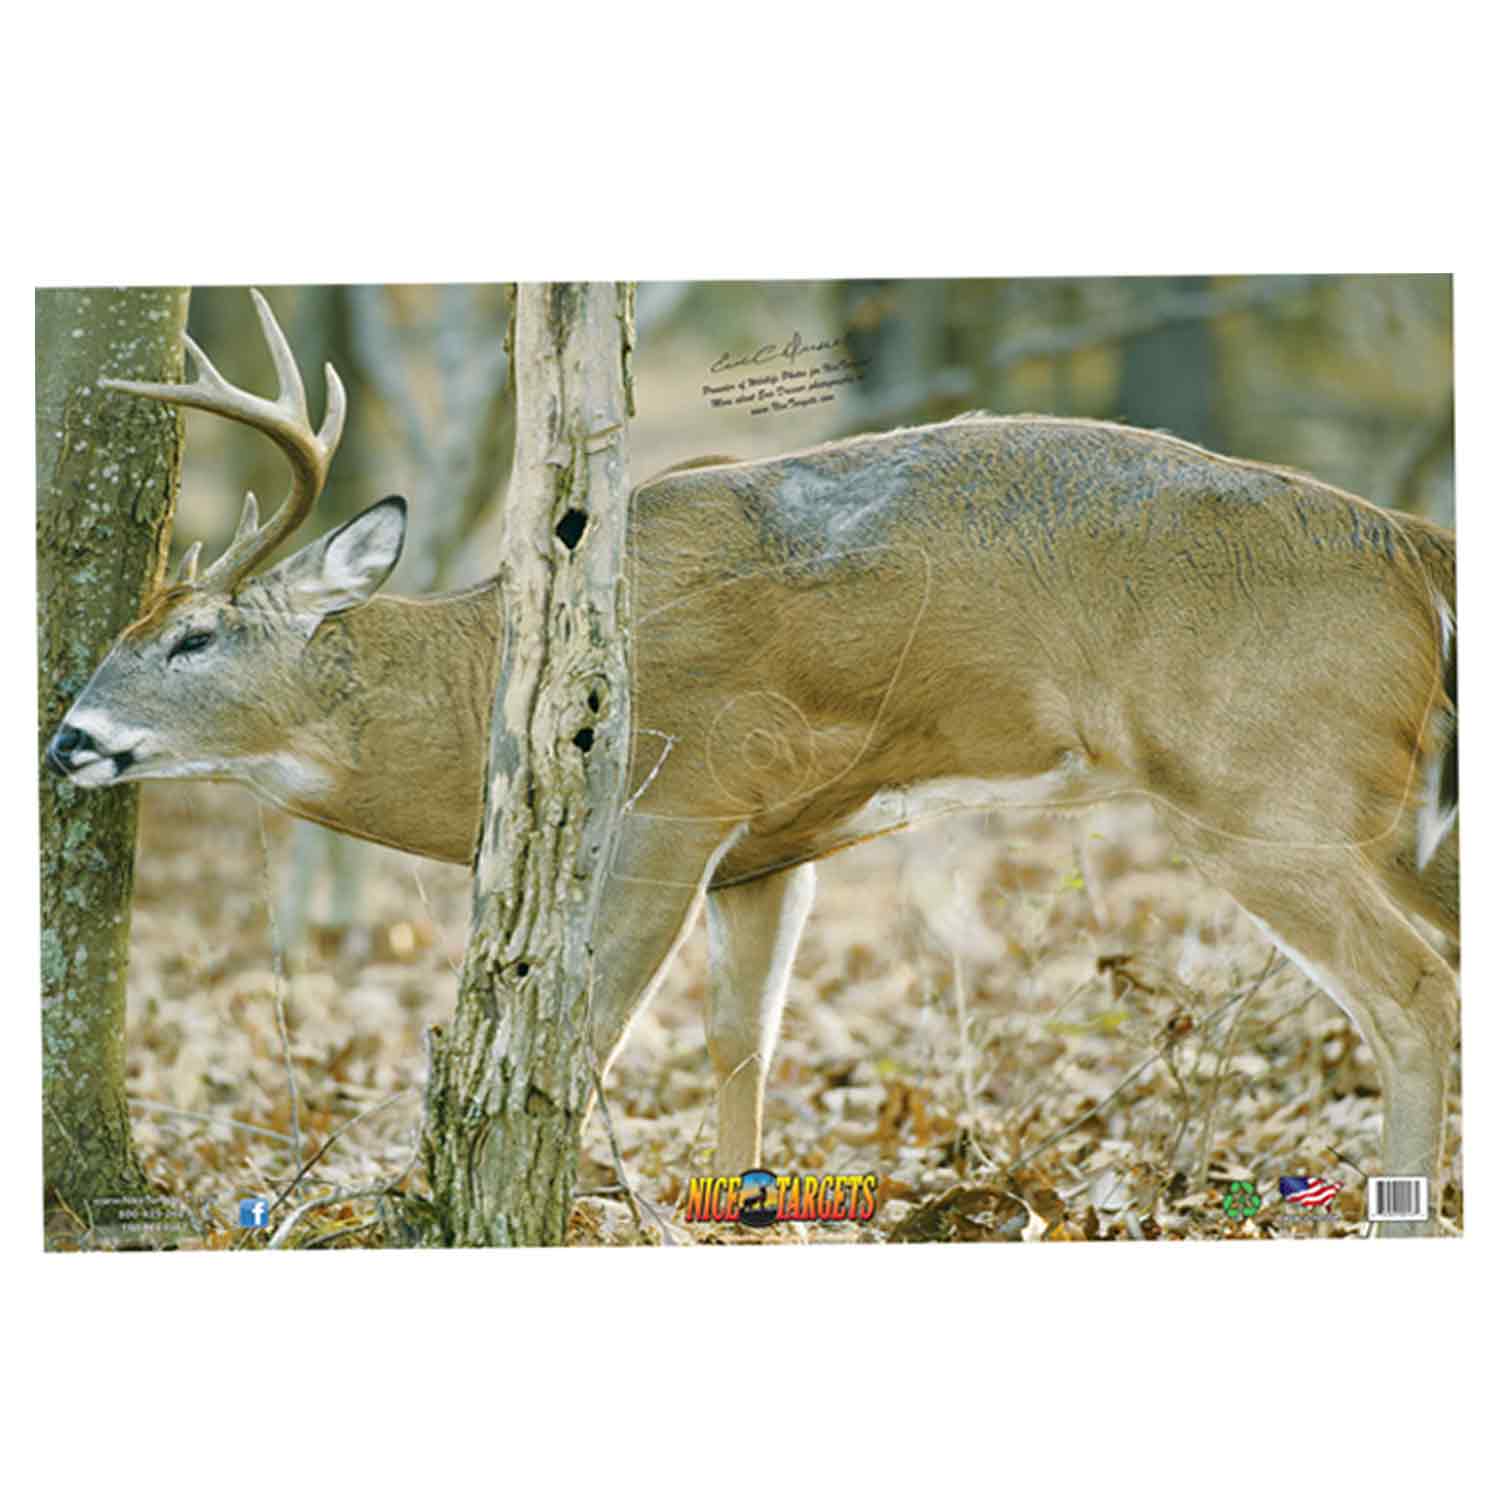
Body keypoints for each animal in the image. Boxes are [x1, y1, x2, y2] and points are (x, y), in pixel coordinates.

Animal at [46, 290, 1458, 1235]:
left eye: (193, 636)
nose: (67, 739)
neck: (487, 674)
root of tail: (1412, 545)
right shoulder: (773, 849)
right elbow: (745, 1039)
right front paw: (742, 1206)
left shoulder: (680, 796)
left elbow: (593, 1029)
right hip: (1396, 808)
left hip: (1267, 794)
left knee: (1415, 994)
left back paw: (1395, 1209)